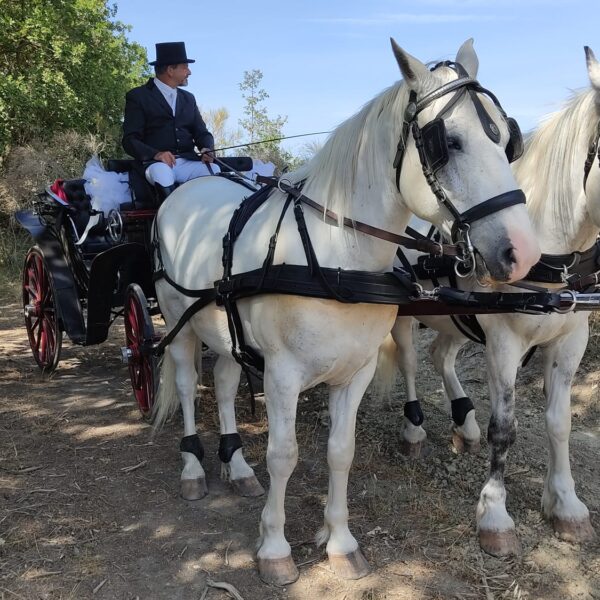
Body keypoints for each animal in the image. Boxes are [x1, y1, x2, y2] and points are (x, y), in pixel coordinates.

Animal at [152, 38, 540, 584]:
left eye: (507, 140)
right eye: (448, 142)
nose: (522, 253)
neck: (336, 255)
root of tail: (187, 186)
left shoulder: (354, 371)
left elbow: (341, 452)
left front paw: (340, 543)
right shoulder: (283, 375)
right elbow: (283, 455)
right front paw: (275, 549)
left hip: (225, 331)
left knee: (226, 383)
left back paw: (237, 465)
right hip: (178, 322)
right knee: (187, 385)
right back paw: (193, 468)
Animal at [382, 48, 596, 556]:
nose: (519, 254)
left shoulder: (571, 339)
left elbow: (560, 422)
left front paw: (566, 503)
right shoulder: (503, 341)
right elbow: (506, 428)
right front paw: (495, 513)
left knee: (442, 355)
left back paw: (465, 423)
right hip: (405, 310)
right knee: (410, 360)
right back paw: (415, 428)